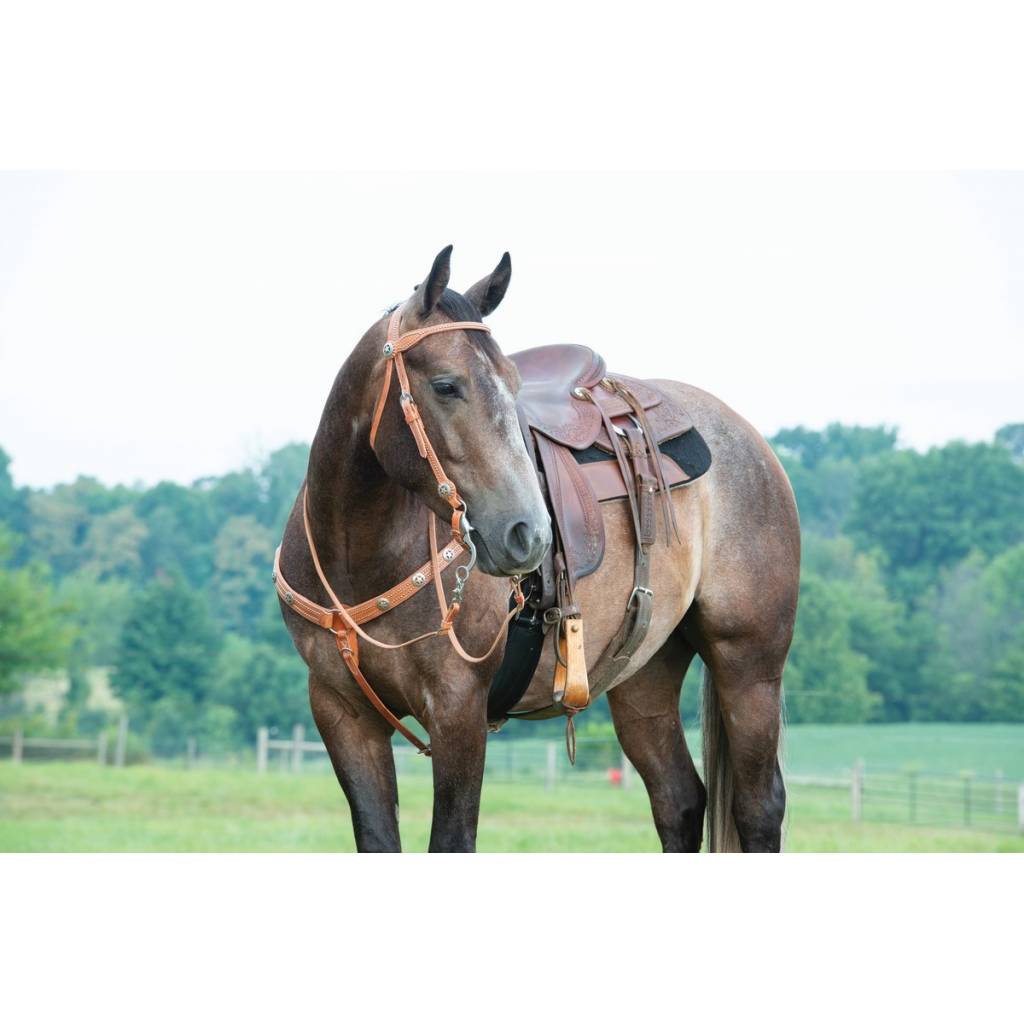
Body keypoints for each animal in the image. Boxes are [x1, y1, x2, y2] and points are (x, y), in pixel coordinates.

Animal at [274, 243, 798, 851]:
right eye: (446, 385)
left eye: (512, 381)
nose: (529, 533)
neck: (361, 558)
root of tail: (751, 441)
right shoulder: (342, 714)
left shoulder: (458, 710)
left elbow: (452, 839)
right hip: (645, 675)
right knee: (679, 800)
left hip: (749, 666)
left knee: (758, 807)